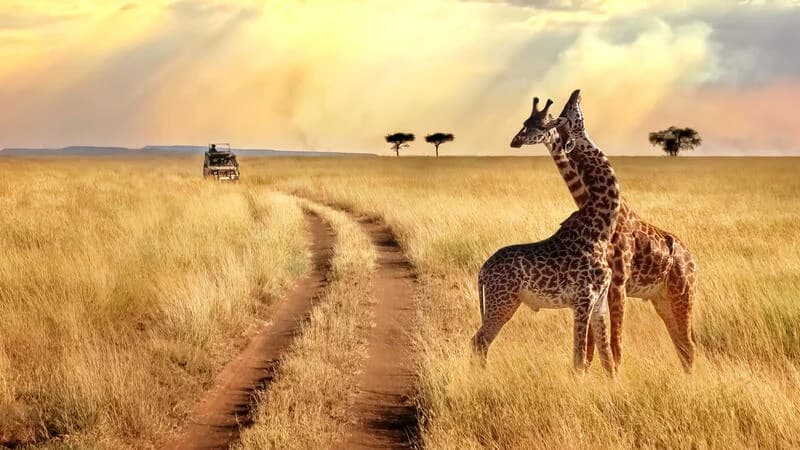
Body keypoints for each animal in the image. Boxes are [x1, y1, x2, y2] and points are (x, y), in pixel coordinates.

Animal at [472, 95, 620, 377]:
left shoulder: (599, 303)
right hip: (502, 301)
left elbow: (607, 360)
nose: (576, 94)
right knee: (479, 341)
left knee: (479, 340)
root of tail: (483, 270)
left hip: (506, 302)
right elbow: (578, 360)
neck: (600, 229)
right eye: (568, 116)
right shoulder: (583, 300)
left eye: (546, 122)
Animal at [551, 90, 698, 373]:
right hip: (662, 299)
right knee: (682, 344)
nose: (575, 93)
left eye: (566, 113)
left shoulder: (616, 283)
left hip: (682, 294)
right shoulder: (605, 285)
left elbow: (613, 344)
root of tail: (693, 260)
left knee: (689, 344)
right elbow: (597, 344)